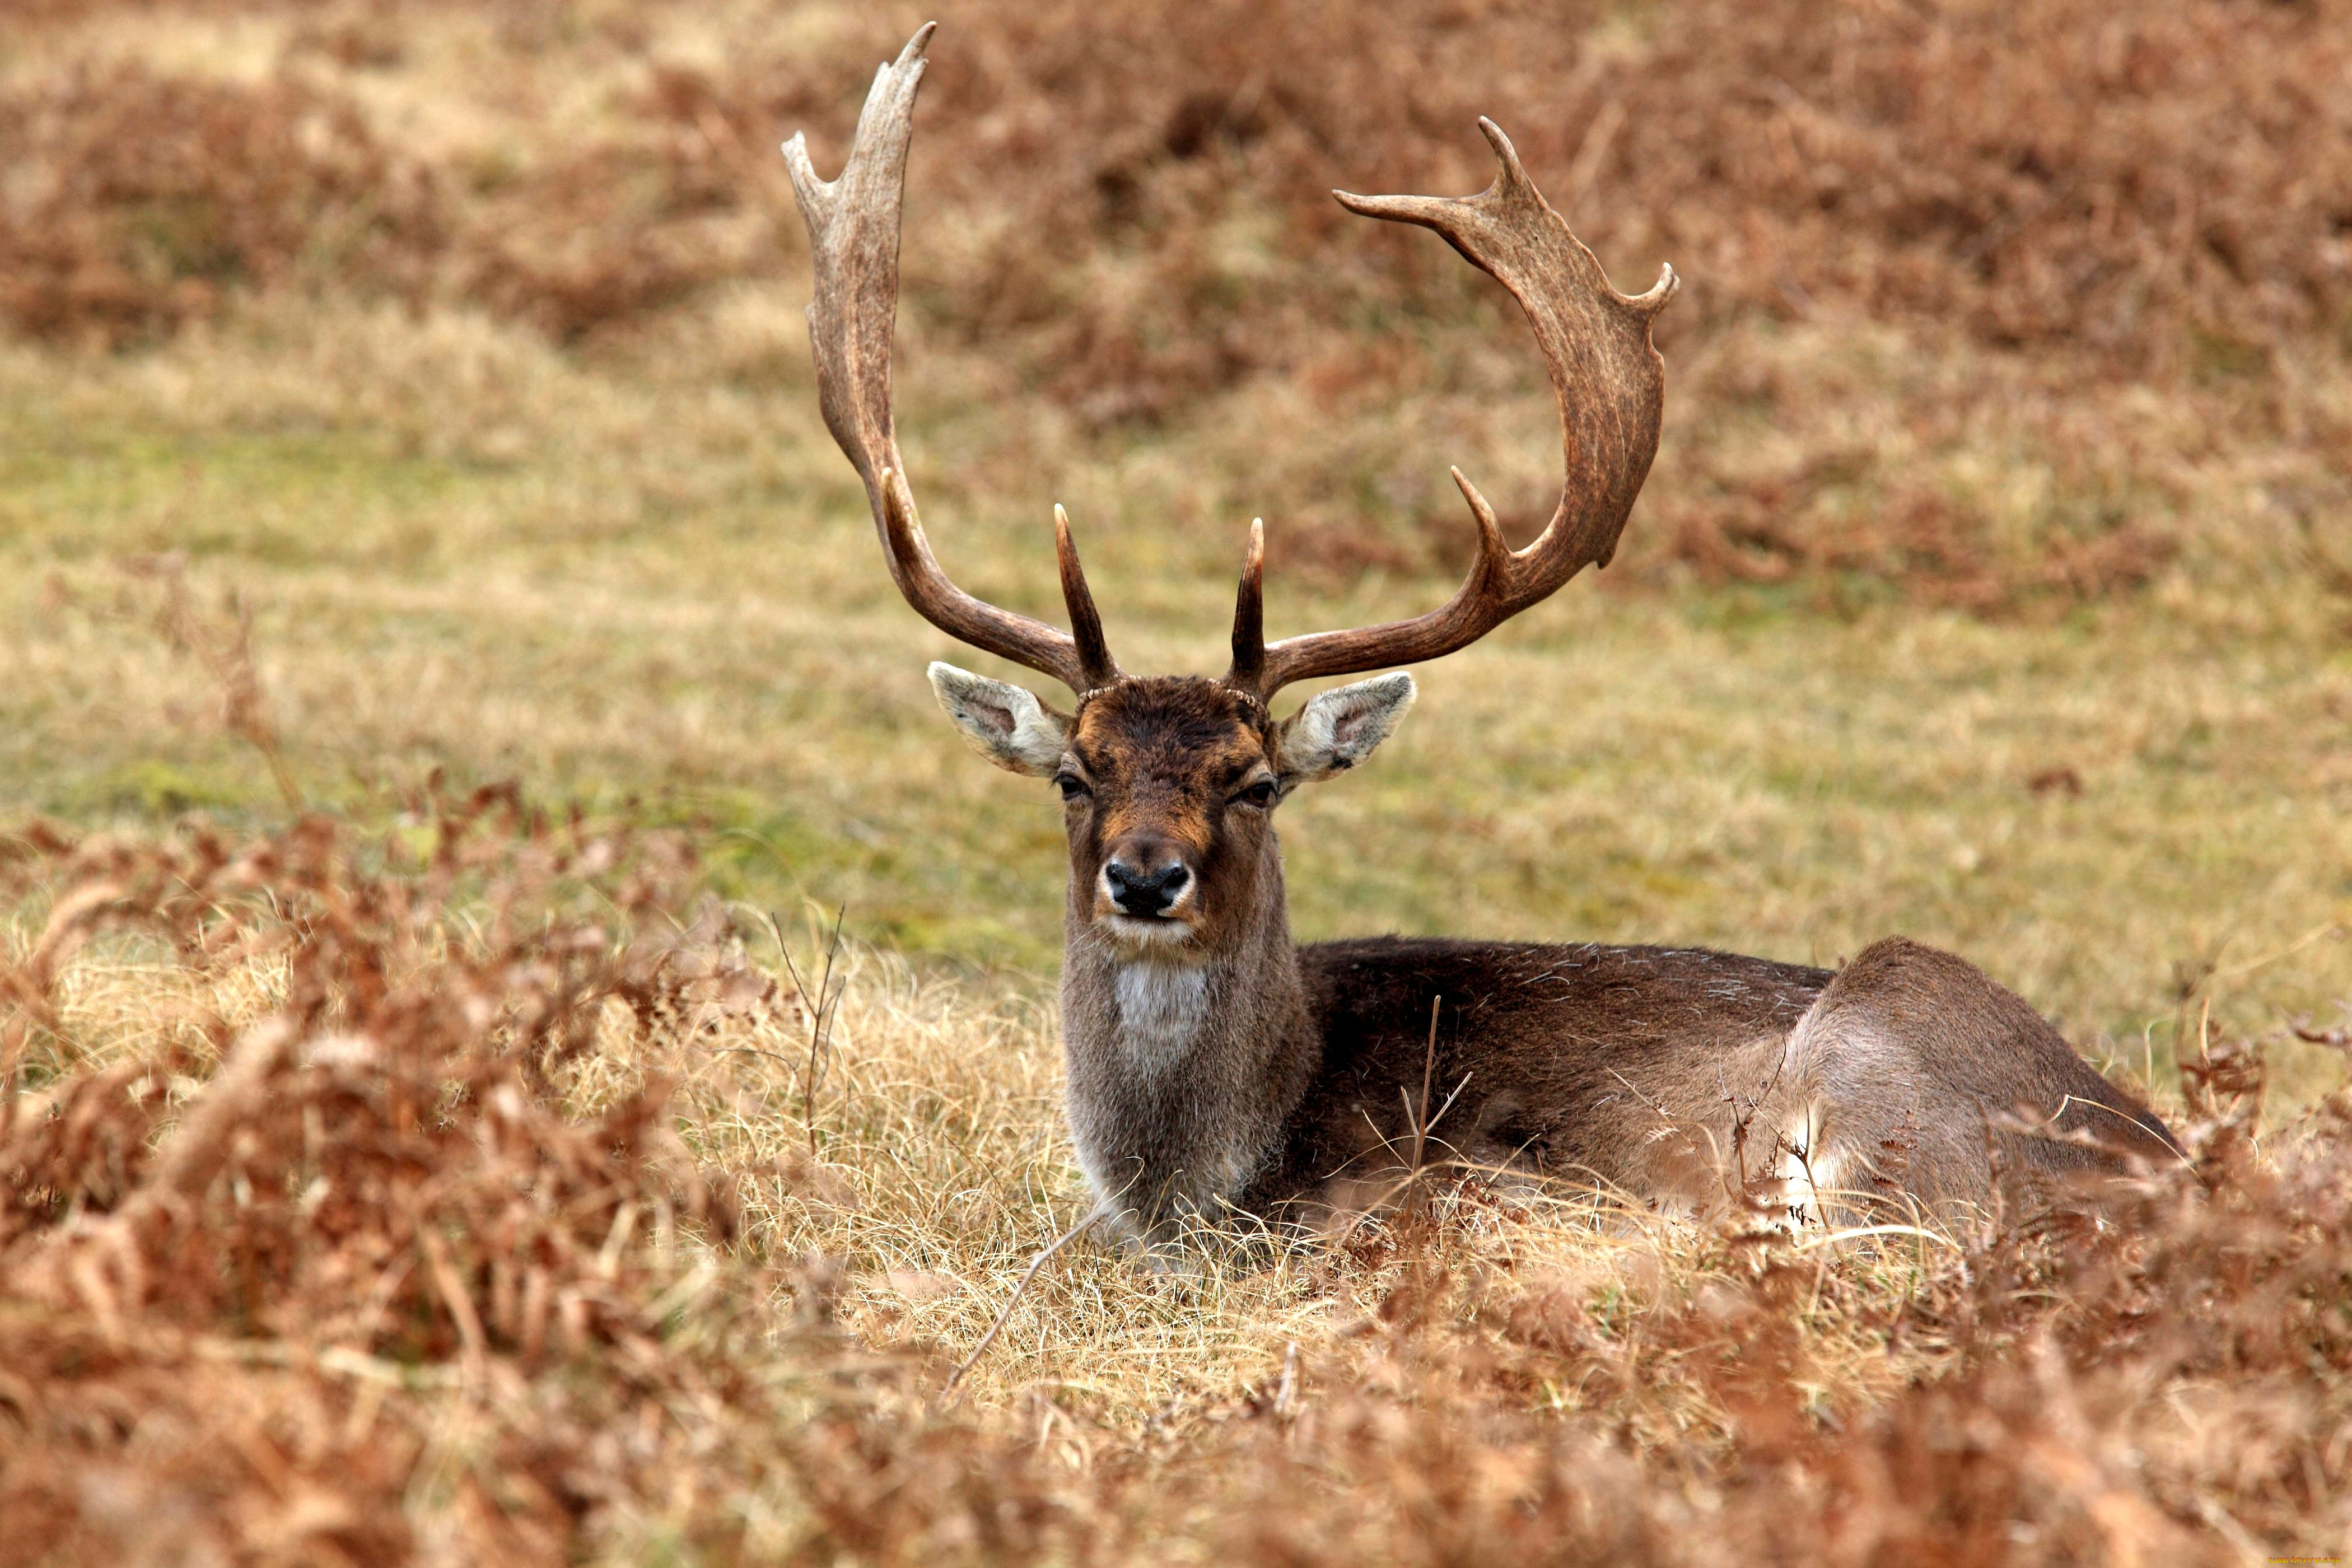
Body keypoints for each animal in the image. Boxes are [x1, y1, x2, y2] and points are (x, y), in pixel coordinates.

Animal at [781, 24, 2173, 1250]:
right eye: (1076, 773)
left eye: (1255, 783)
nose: (1143, 874)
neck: (1202, 1179)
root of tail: (2160, 1165)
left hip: (1874, 1057)